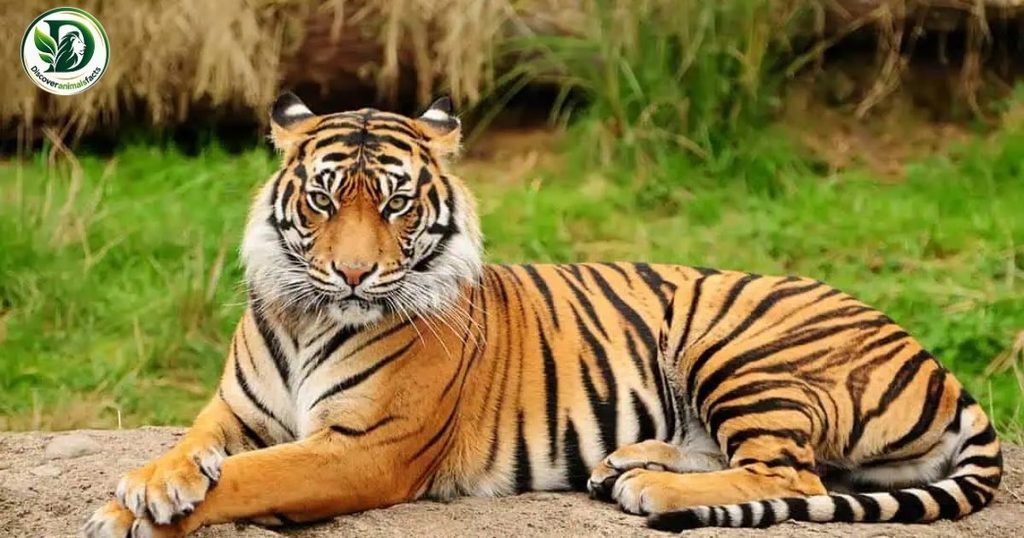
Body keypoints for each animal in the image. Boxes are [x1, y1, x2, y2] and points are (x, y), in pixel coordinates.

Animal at [83, 93, 1002, 537]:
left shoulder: (364, 448)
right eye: (323, 199)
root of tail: (938, 364)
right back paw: (626, 465)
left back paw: (652, 490)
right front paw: (149, 483)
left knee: (793, 475)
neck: (312, 316)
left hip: (738, 344)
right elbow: (194, 449)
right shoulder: (235, 411)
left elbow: (252, 477)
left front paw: (133, 513)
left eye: (396, 204)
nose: (352, 273)